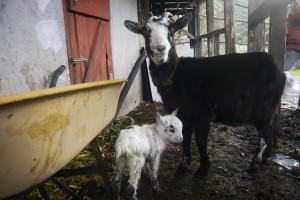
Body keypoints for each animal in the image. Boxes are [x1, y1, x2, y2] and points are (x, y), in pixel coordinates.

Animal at [124, 12, 286, 177]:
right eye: (146, 31)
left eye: (171, 31)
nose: (160, 48)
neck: (175, 75)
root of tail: (279, 71)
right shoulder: (183, 115)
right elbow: (185, 137)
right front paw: (183, 166)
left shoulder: (201, 114)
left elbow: (200, 141)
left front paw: (203, 169)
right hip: (268, 110)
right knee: (269, 129)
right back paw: (266, 157)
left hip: (262, 109)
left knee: (264, 134)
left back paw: (255, 164)